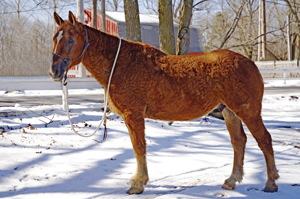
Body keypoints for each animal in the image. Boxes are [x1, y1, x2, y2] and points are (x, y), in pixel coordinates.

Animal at [49, 11, 278, 194]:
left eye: (70, 40)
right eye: (54, 38)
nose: (54, 71)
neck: (121, 64)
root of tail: (250, 63)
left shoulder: (134, 115)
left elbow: (139, 147)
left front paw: (138, 184)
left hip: (248, 112)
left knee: (264, 140)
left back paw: (271, 183)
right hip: (230, 113)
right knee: (239, 142)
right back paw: (231, 181)